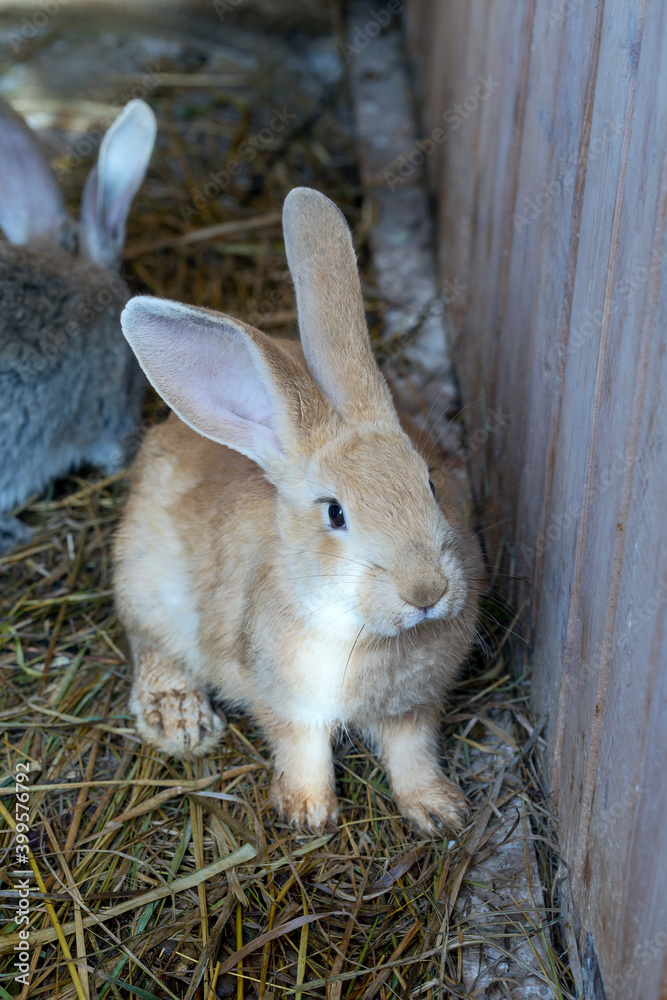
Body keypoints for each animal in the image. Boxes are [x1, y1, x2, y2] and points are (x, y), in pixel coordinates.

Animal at [113, 187, 481, 836]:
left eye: (431, 483)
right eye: (335, 514)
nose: (426, 591)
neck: (362, 632)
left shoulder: (414, 710)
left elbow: (413, 754)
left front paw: (441, 812)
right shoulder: (285, 701)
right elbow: (301, 747)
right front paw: (309, 814)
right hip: (143, 581)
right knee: (152, 646)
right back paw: (181, 721)